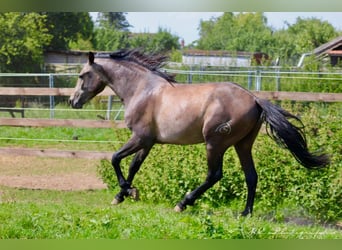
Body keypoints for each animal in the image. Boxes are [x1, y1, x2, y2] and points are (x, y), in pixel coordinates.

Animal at [69, 49, 328, 217]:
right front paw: (124, 195)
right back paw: (245, 213)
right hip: (243, 144)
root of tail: (254, 99)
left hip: (215, 143)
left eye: (82, 75)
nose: (73, 101)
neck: (142, 90)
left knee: (214, 175)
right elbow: (133, 166)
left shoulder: (140, 137)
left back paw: (183, 203)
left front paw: (127, 192)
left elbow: (115, 159)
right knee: (251, 176)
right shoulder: (148, 142)